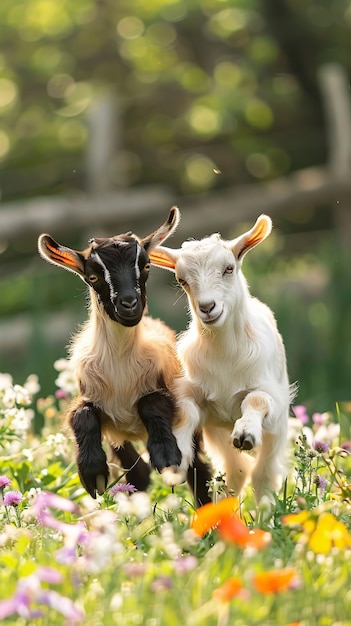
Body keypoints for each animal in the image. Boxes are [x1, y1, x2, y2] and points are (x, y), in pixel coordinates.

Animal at [37, 207, 212, 500]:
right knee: (137, 473)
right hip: (119, 439)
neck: (120, 366)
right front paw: (92, 473)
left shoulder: (171, 395)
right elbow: (81, 416)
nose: (129, 303)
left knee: (198, 469)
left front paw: (165, 455)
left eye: (146, 266)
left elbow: (152, 404)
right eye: (93, 277)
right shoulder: (95, 401)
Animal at [150, 214, 296, 502]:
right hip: (217, 433)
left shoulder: (272, 398)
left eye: (228, 268)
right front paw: (177, 455)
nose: (207, 307)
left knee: (263, 474)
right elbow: (186, 411)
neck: (224, 355)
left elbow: (256, 399)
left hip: (276, 434)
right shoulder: (196, 396)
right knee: (236, 472)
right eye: (182, 279)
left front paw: (246, 433)